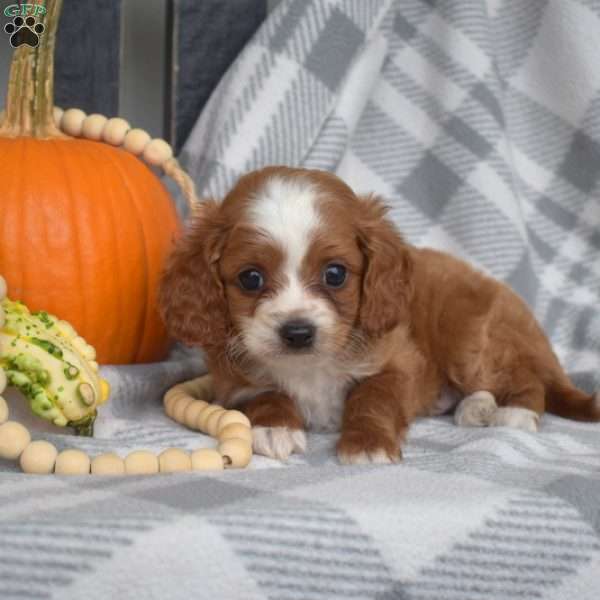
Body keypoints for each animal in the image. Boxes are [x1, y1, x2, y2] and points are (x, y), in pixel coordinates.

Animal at [159, 166, 600, 462]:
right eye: (250, 278)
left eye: (335, 274)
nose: (297, 333)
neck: (310, 366)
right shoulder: (233, 381)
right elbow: (267, 394)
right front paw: (275, 428)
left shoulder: (399, 362)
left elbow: (373, 396)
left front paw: (367, 445)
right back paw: (474, 408)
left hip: (469, 338)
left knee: (526, 380)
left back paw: (515, 414)